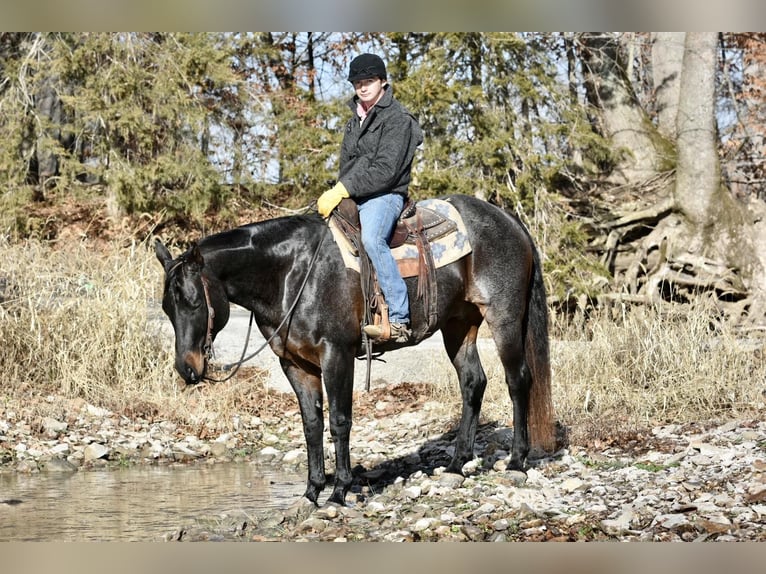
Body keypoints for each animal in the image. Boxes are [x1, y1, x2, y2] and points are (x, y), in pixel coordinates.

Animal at [156, 196, 556, 506]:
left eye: (194, 302)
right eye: (166, 308)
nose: (187, 368)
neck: (292, 272)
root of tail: (509, 220)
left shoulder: (337, 354)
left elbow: (339, 421)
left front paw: (339, 491)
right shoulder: (295, 364)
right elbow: (311, 423)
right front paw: (311, 492)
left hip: (504, 317)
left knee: (518, 380)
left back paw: (517, 461)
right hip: (459, 323)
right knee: (473, 382)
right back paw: (457, 465)